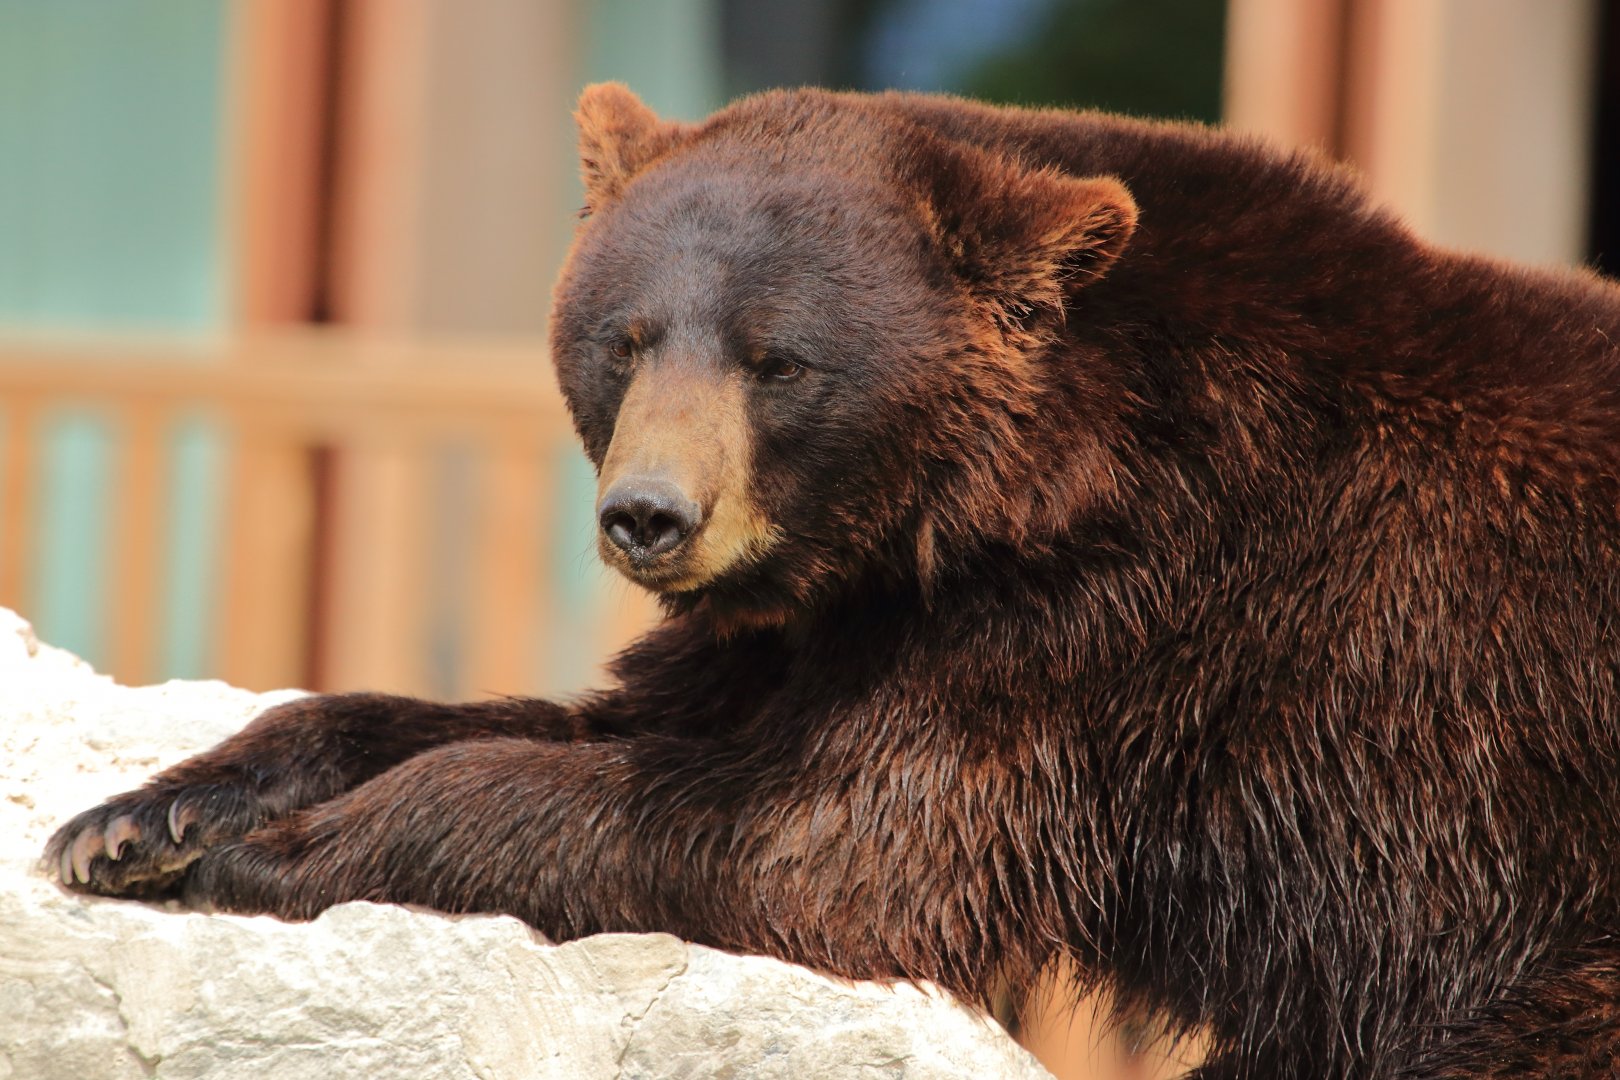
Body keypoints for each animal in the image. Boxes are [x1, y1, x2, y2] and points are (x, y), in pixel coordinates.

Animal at [45, 83, 1620, 1078]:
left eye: (778, 357)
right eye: (626, 334)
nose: (649, 516)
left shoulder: (1115, 631)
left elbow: (821, 843)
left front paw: (277, 852)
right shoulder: (804, 629)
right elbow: (579, 720)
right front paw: (139, 819)